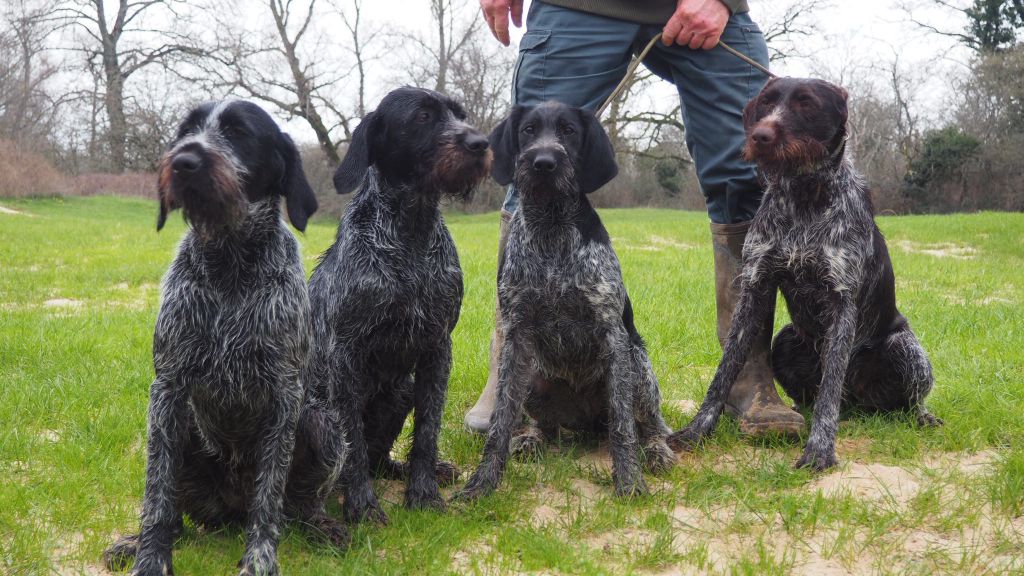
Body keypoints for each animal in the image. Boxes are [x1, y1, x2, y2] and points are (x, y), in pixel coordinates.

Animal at [102, 99, 348, 573]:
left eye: (239, 133)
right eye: (186, 130)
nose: (184, 161)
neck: (230, 266)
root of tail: (230, 509)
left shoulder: (285, 396)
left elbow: (268, 499)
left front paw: (259, 559)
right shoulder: (167, 389)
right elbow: (157, 496)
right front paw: (150, 557)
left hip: (321, 423)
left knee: (298, 507)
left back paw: (322, 526)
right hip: (179, 428)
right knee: (177, 516)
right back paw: (138, 541)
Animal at [307, 86, 491, 524]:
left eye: (460, 114)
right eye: (423, 116)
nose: (480, 143)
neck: (411, 234)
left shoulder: (438, 347)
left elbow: (427, 432)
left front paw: (423, 493)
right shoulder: (345, 356)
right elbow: (352, 444)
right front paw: (361, 506)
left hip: (402, 391)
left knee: (380, 459)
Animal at [456, 101, 679, 498]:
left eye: (569, 131)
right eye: (528, 130)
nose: (543, 162)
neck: (551, 228)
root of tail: (585, 423)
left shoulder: (613, 336)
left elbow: (623, 426)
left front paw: (629, 481)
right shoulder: (515, 338)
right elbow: (500, 424)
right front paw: (482, 483)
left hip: (638, 366)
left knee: (649, 426)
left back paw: (656, 451)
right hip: (532, 376)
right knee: (544, 426)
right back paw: (531, 440)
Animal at [667, 77, 937, 471]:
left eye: (806, 104)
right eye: (765, 102)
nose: (761, 135)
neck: (804, 196)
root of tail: (858, 402)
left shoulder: (841, 301)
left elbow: (829, 390)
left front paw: (820, 449)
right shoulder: (754, 289)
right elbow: (724, 371)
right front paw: (697, 430)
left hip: (904, 348)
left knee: (903, 400)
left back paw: (922, 416)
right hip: (786, 339)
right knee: (816, 395)